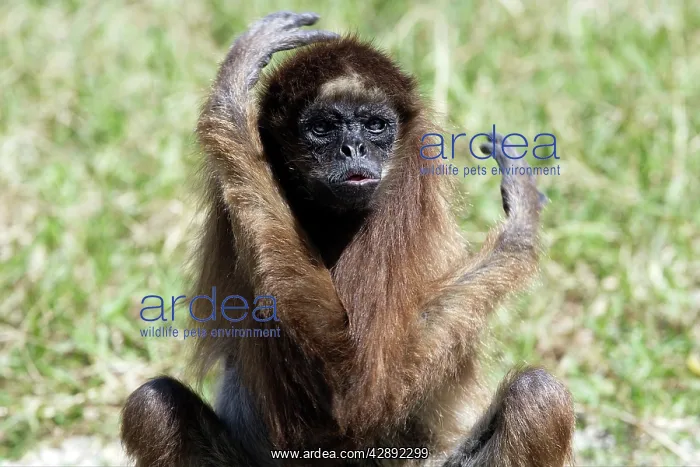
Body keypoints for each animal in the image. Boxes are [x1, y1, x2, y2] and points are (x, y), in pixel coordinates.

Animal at [121, 11, 575, 467]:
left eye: (375, 126)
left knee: (537, 396)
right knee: (154, 404)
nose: (353, 148)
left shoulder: (406, 189)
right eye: (323, 127)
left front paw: (520, 229)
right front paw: (231, 97)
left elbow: (364, 388)